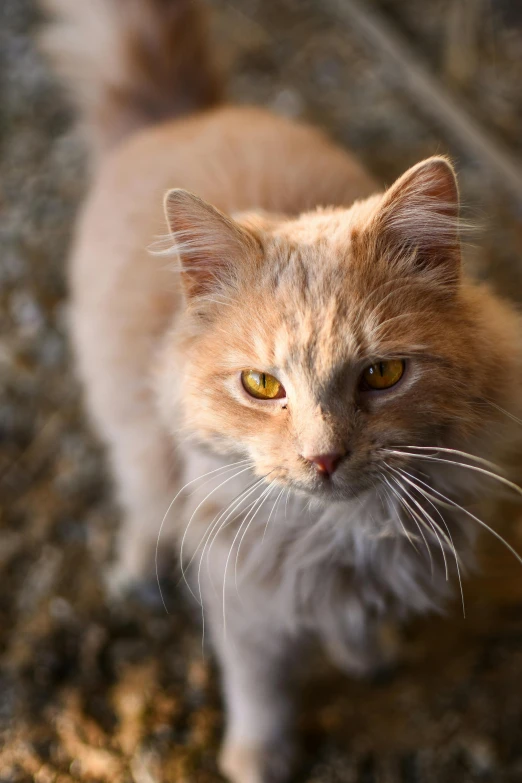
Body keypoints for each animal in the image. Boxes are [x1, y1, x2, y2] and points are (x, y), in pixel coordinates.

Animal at [41, 1, 520, 783]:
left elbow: (360, 627)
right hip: (132, 431)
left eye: (381, 375)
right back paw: (138, 569)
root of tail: (184, 114)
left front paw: (368, 658)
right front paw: (258, 757)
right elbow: (259, 688)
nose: (323, 459)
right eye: (262, 386)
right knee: (140, 499)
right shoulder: (245, 601)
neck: (342, 536)